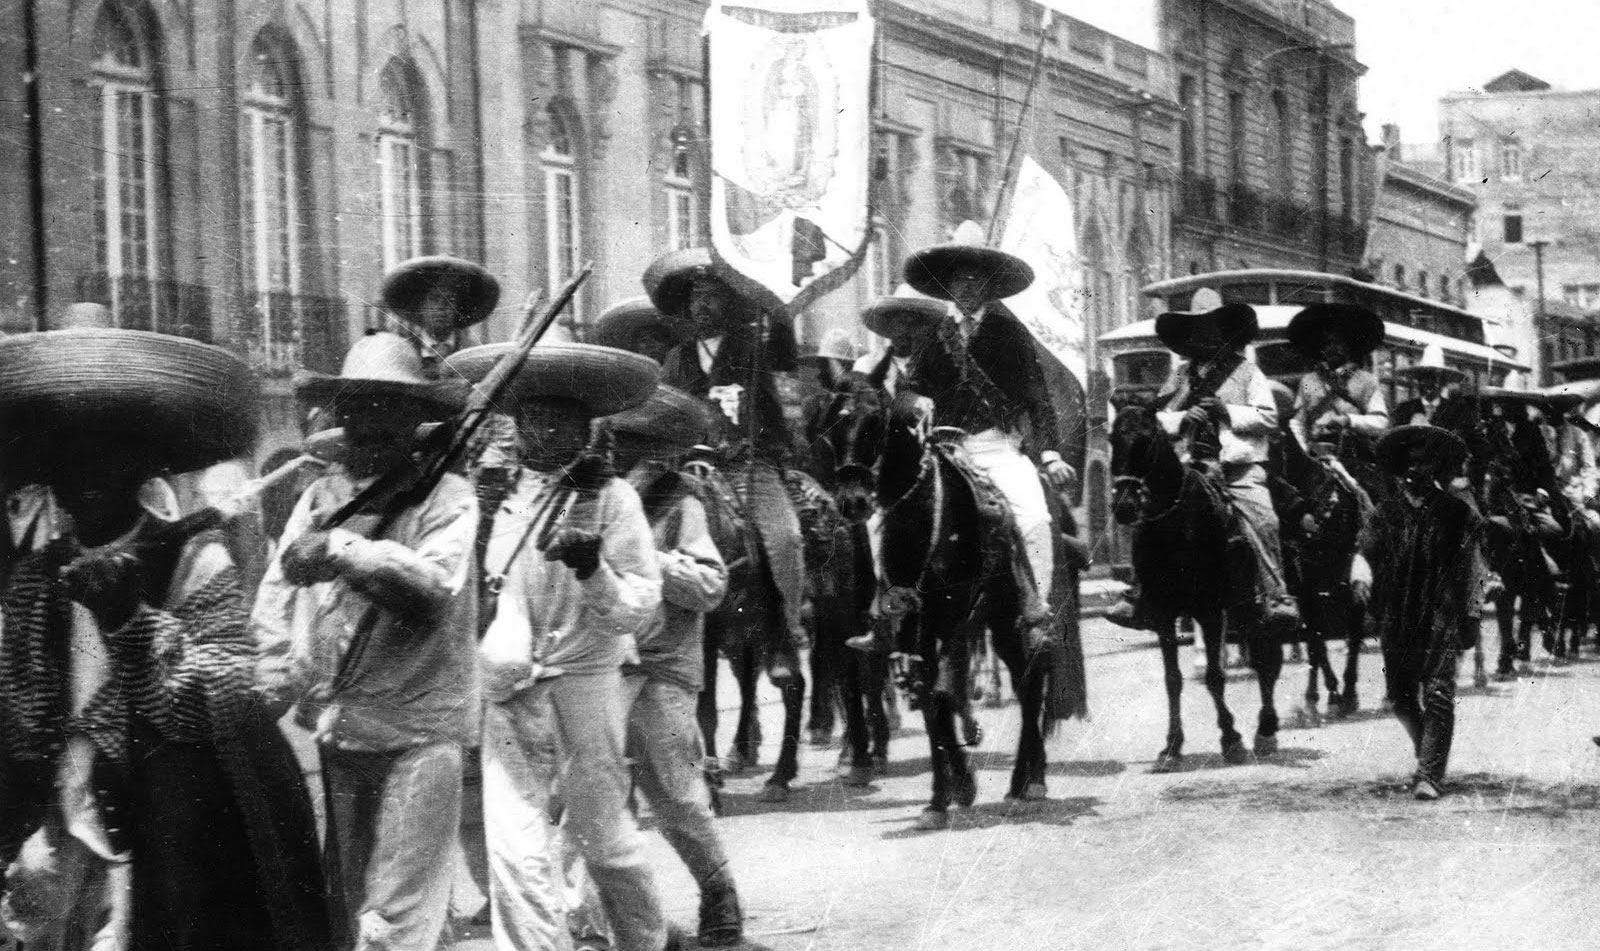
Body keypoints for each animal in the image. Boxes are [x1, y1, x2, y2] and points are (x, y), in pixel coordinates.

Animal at [825, 389, 1062, 826]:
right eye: (832, 427)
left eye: (875, 424)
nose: (853, 502)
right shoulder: (912, 623)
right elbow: (929, 697)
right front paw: (948, 792)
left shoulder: (951, 620)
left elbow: (942, 692)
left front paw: (953, 788)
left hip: (1009, 617)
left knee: (1030, 677)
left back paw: (1029, 782)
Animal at [1113, 400, 1286, 768]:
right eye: (1112, 438)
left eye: (1147, 440)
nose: (1125, 507)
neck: (1177, 524)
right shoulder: (1164, 613)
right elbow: (1173, 680)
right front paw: (1171, 747)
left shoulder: (1209, 610)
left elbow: (1214, 676)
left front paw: (1231, 740)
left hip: (1257, 608)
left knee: (1267, 661)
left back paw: (1265, 731)